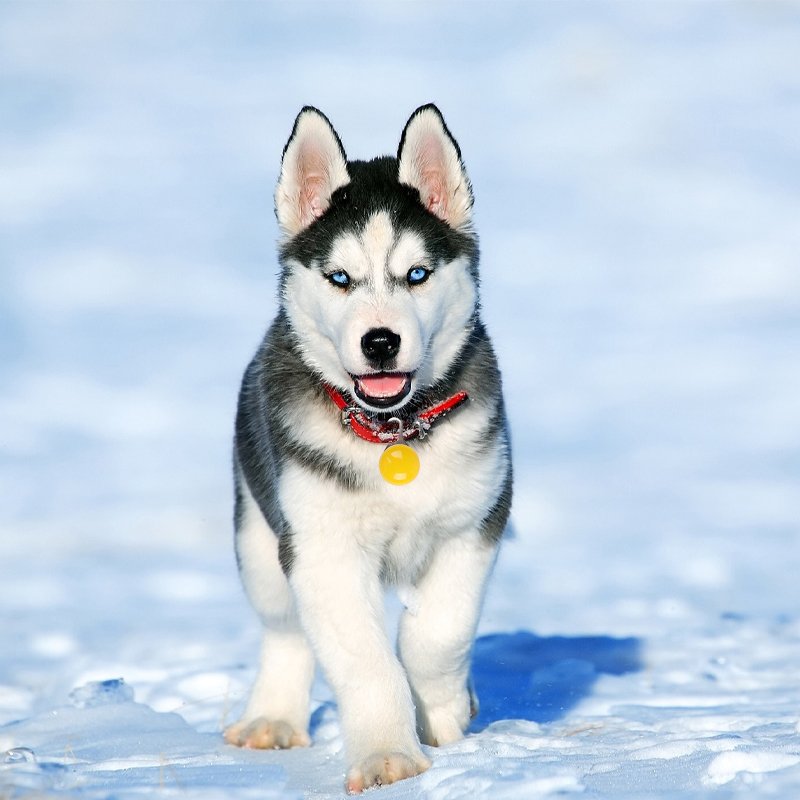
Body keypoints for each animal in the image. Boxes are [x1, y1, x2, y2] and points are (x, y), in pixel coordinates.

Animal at [225, 101, 512, 792]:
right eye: (339, 278)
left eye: (417, 275)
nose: (380, 342)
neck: (392, 434)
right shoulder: (321, 548)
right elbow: (364, 658)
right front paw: (388, 755)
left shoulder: (475, 523)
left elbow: (438, 633)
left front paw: (442, 710)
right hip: (258, 536)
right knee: (285, 630)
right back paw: (271, 718)